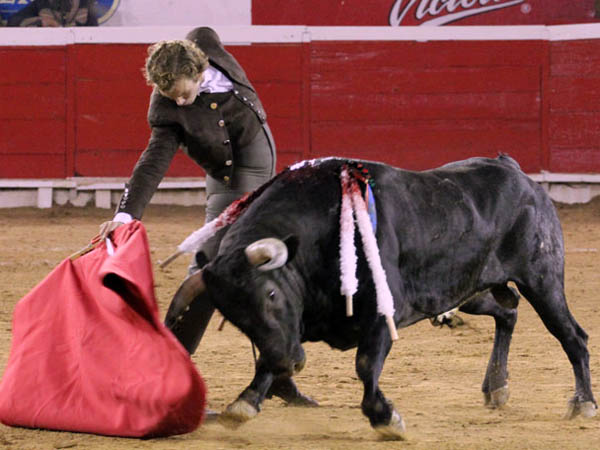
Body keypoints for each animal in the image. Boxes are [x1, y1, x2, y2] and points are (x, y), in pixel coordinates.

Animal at [164, 155, 597, 439]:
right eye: (234, 317)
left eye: (271, 292)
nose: (290, 364)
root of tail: (515, 170)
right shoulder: (290, 330)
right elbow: (269, 356)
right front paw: (247, 401)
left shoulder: (382, 313)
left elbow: (365, 364)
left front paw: (386, 418)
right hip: (466, 289)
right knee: (507, 313)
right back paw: (496, 387)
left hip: (542, 279)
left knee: (572, 337)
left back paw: (583, 403)